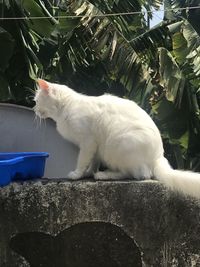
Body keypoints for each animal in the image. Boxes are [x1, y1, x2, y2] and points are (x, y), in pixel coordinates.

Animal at [34, 79, 200, 199]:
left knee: (137, 175)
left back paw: (104, 175)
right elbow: (93, 162)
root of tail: (158, 156)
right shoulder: (95, 147)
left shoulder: (88, 142)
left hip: (119, 145)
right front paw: (88, 173)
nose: (34, 109)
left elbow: (82, 160)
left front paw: (77, 174)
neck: (66, 108)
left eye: (36, 101)